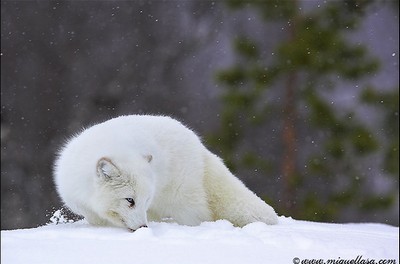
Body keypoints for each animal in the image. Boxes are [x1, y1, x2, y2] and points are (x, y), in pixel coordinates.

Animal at [54, 114, 278, 230]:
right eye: (130, 200)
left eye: (144, 200)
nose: (143, 228)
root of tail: (198, 144)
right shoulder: (85, 208)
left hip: (182, 201)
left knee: (199, 217)